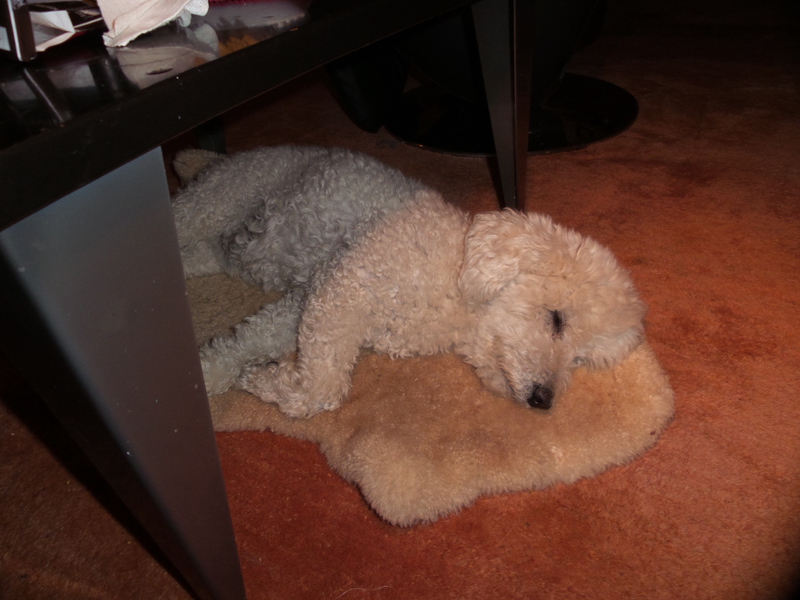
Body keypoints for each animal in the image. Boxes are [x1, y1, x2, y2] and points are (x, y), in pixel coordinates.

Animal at [172, 146, 646, 418]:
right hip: (219, 196)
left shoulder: (306, 302)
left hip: (213, 248)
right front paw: (263, 382)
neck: (454, 282)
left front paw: (229, 375)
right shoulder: (343, 289)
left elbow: (245, 344)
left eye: (579, 359)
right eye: (556, 319)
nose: (543, 401)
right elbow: (325, 388)